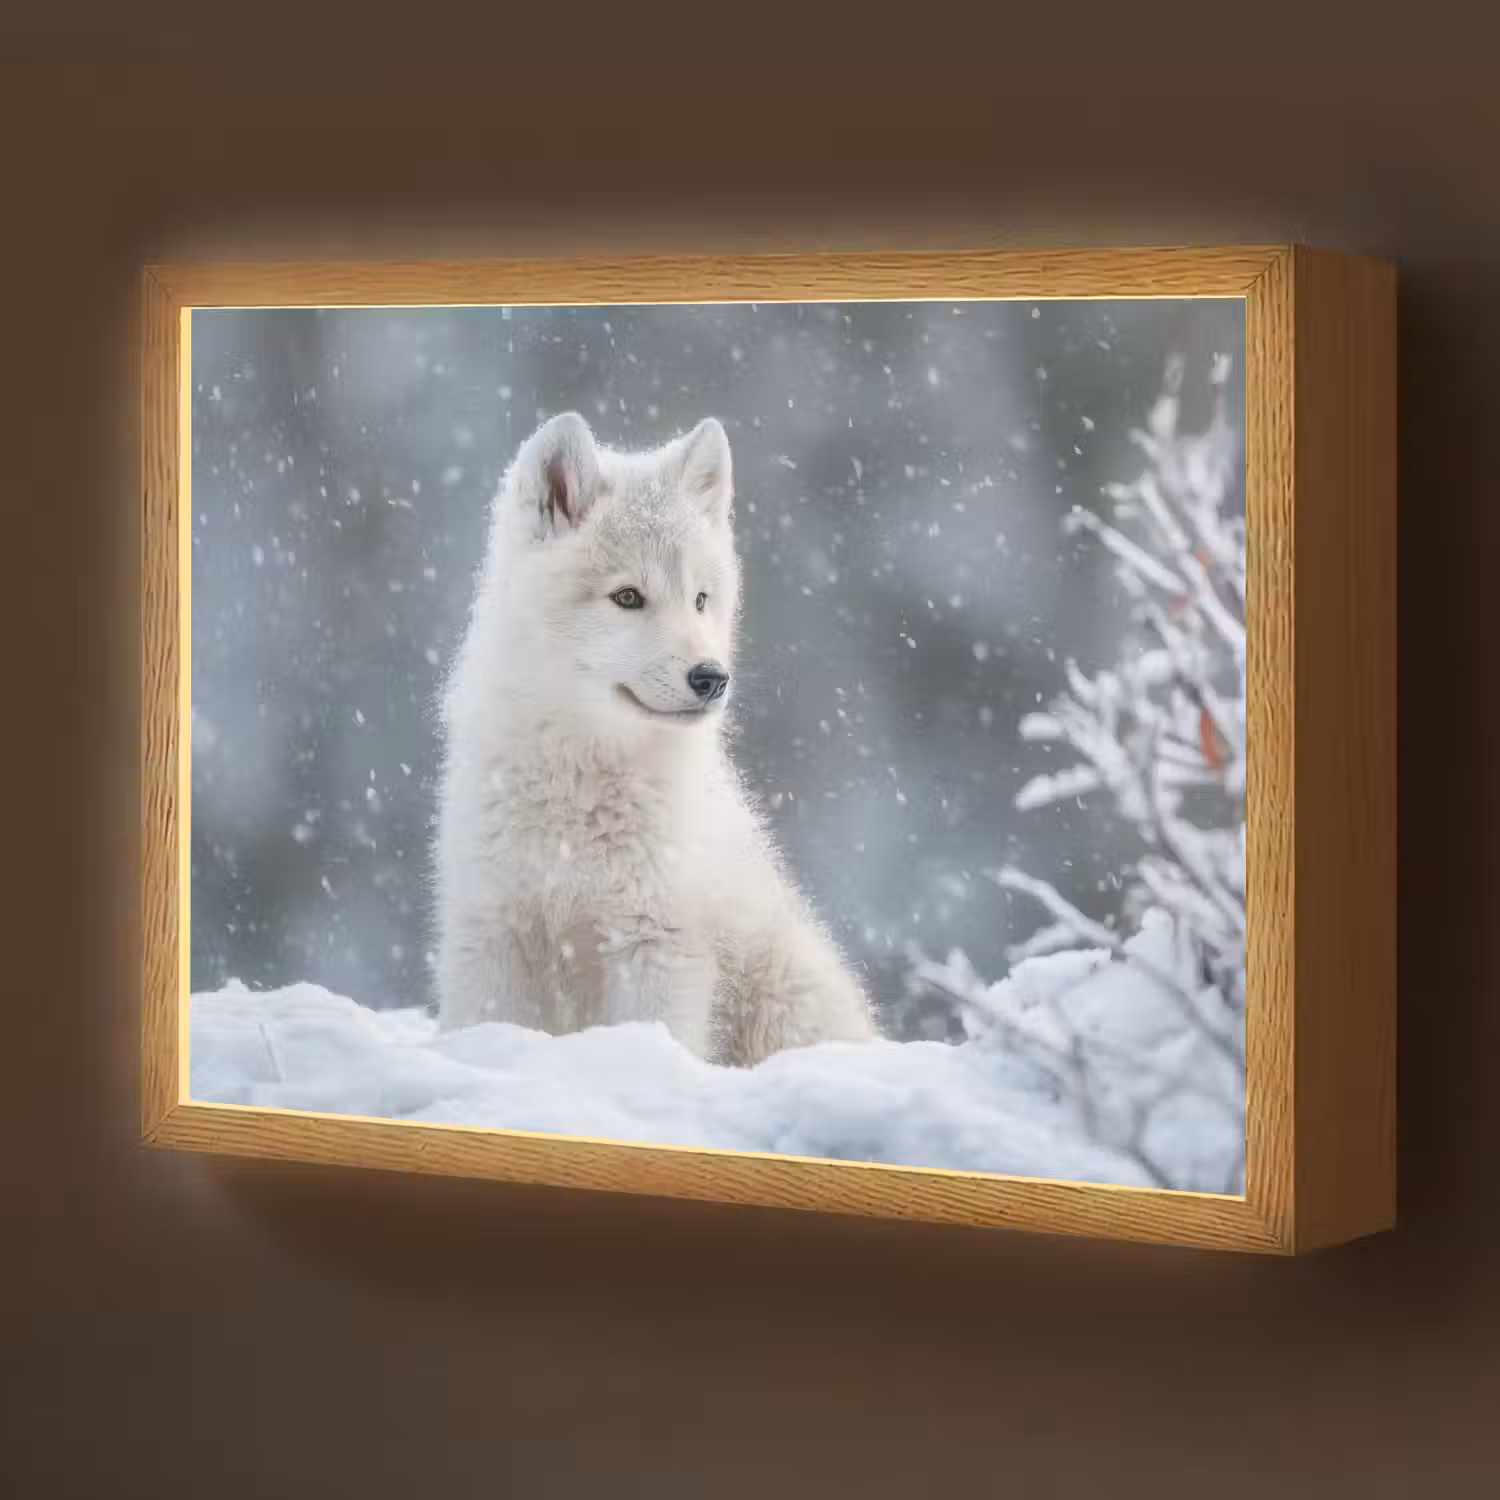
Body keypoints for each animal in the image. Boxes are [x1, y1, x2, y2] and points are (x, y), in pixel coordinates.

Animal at [432, 410, 876, 1065]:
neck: (579, 786)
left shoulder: (656, 940)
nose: (711, 678)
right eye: (627, 597)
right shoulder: (491, 931)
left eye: (701, 599)